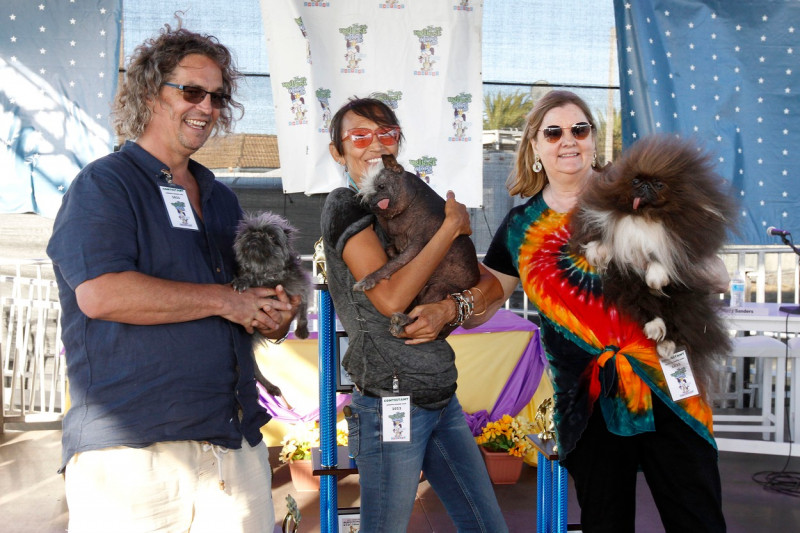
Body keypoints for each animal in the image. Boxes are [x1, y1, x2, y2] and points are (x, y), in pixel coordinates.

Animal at [568, 136, 736, 394]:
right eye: (635, 181)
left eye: (658, 184)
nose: (644, 187)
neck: (645, 216)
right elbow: (603, 239)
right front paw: (599, 253)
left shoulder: (677, 244)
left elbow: (658, 260)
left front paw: (655, 278)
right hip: (631, 289)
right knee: (648, 309)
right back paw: (655, 330)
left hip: (682, 299)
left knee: (676, 321)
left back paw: (666, 344)